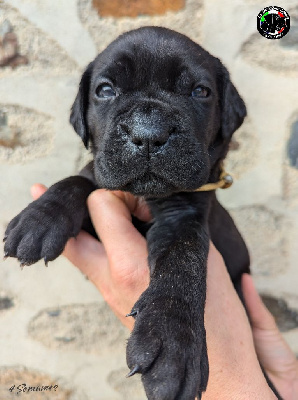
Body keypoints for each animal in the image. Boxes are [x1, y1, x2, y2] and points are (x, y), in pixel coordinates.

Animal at [2, 26, 278, 398]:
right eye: (105, 90)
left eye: (200, 91)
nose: (148, 133)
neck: (147, 196)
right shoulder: (102, 187)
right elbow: (82, 180)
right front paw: (40, 219)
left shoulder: (184, 218)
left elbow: (183, 261)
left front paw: (172, 343)